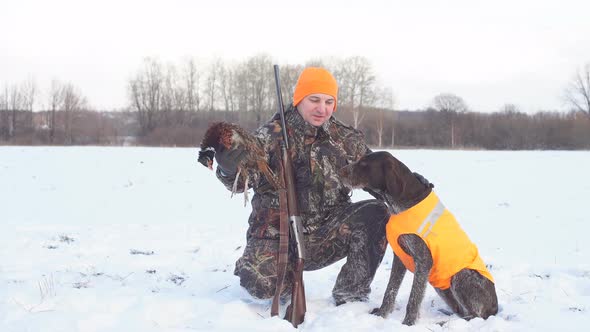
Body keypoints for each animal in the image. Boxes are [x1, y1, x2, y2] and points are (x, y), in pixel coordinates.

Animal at [338, 152, 500, 326]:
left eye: (364, 164)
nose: (340, 171)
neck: (401, 204)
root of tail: (495, 308)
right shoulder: (400, 257)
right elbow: (390, 290)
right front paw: (382, 314)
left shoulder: (423, 261)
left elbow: (414, 298)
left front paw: (408, 323)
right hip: (443, 289)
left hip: (461, 275)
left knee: (476, 316)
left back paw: (444, 323)